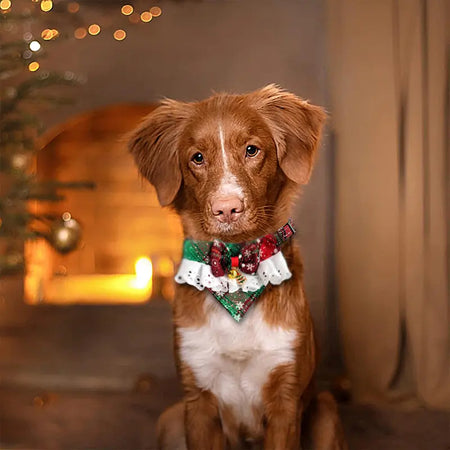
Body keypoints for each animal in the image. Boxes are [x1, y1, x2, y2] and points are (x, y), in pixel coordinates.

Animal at [128, 85, 346, 450]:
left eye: (251, 150)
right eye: (197, 158)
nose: (226, 208)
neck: (235, 270)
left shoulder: (286, 401)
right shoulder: (197, 400)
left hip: (327, 412)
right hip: (169, 420)